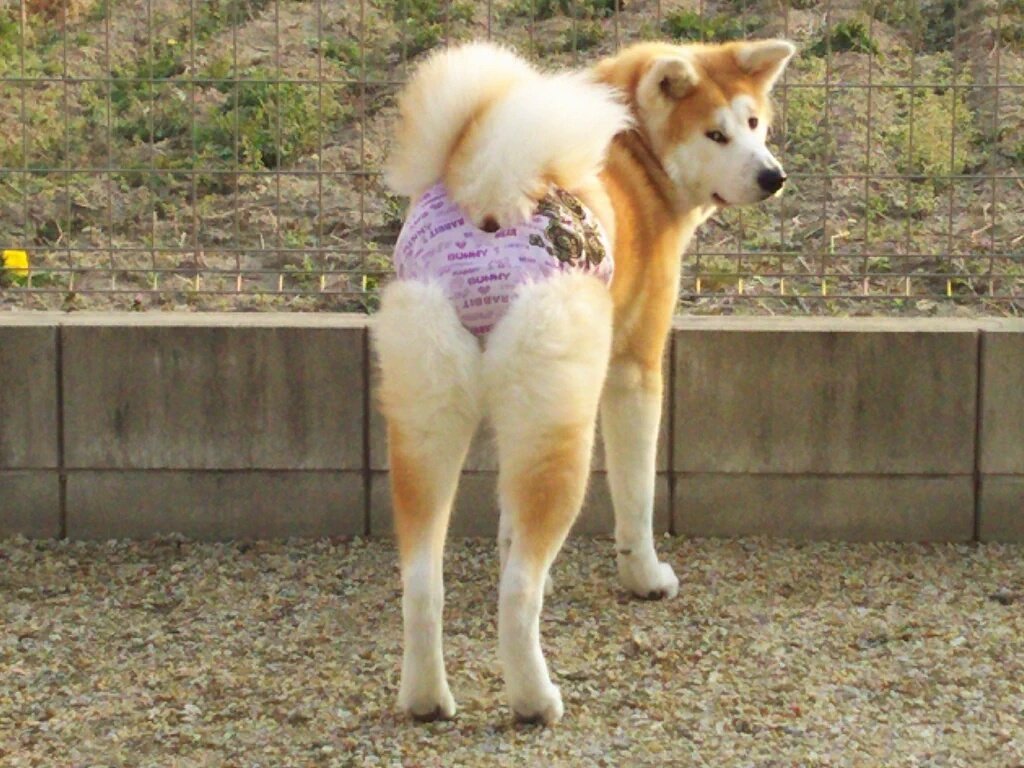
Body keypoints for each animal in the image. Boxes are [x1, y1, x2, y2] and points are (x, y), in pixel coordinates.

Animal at [372, 37, 794, 729]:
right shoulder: (634, 370)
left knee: (422, 582)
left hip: (427, 427)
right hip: (562, 429)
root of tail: (487, 194)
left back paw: (426, 697)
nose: (772, 176)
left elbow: (508, 528)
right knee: (517, 598)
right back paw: (534, 699)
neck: (637, 151)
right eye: (716, 133)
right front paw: (645, 578)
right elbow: (637, 496)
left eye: (754, 123)